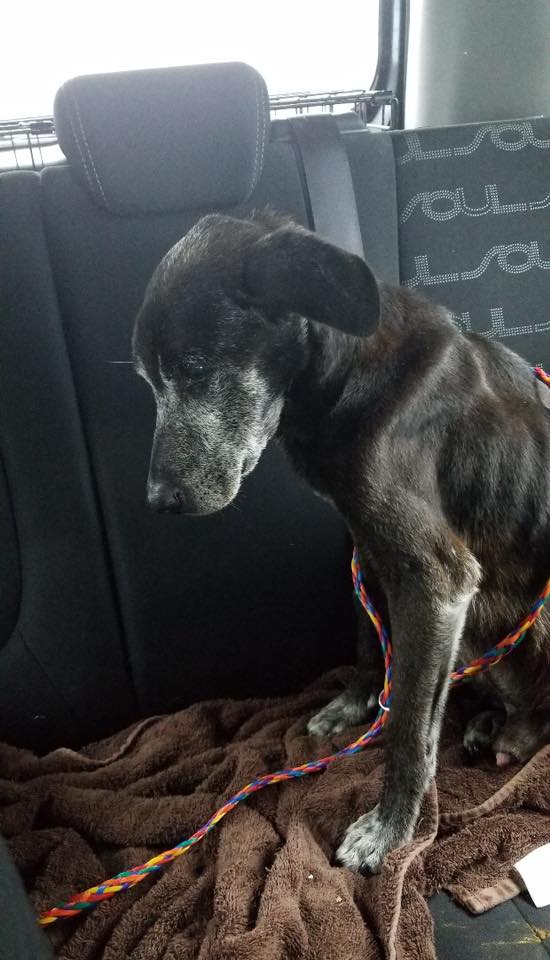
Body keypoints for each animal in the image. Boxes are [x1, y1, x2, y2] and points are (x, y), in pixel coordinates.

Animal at [134, 214, 550, 872]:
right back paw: (489, 724)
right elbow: (367, 640)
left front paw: (389, 830)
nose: (158, 501)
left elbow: (410, 724)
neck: (348, 376)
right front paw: (354, 706)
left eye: (196, 368)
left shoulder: (436, 579)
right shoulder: (366, 547)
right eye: (148, 380)